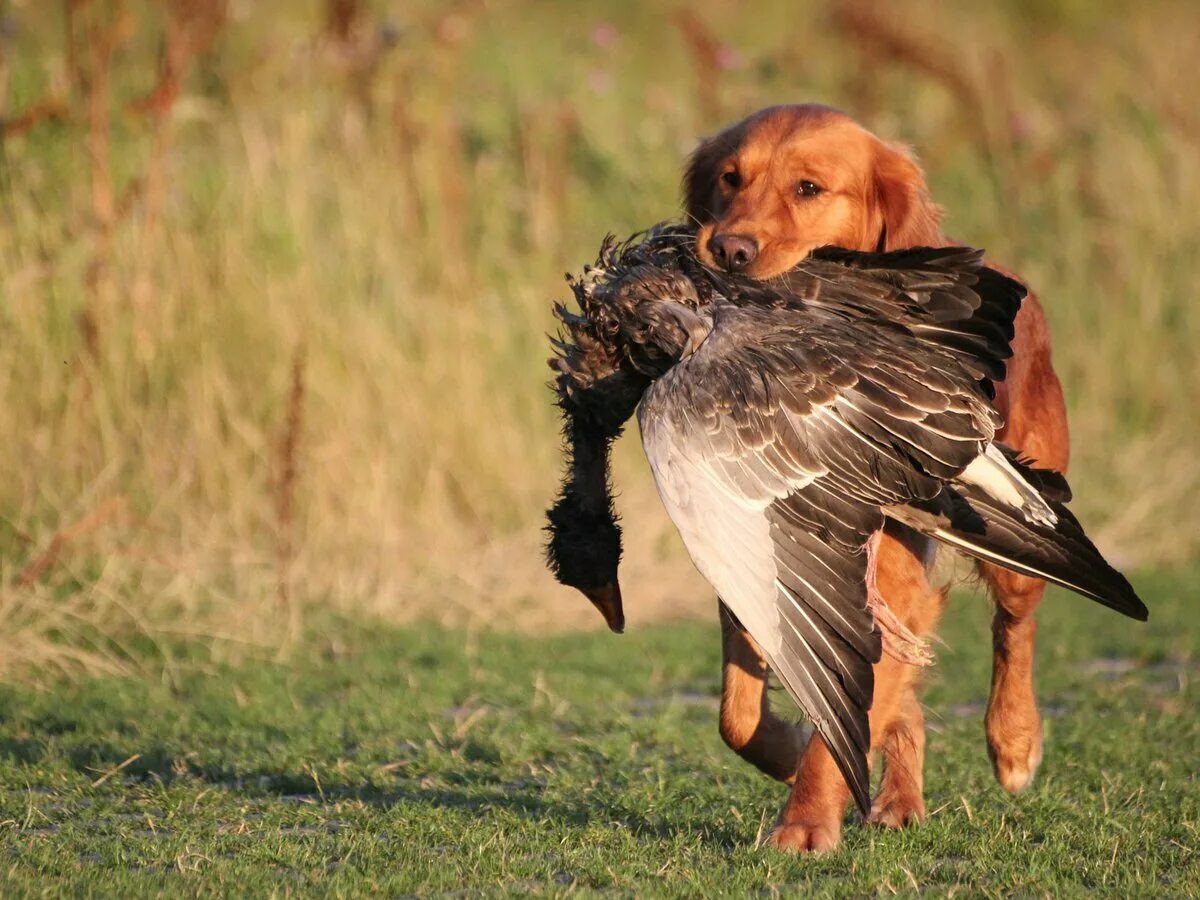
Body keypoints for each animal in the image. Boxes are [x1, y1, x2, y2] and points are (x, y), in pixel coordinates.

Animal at [686, 105, 1070, 854]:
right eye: (729, 179)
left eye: (809, 188)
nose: (728, 249)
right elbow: (738, 714)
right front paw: (785, 752)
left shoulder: (889, 575)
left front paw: (805, 821)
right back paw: (899, 799)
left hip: (1015, 540)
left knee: (1015, 627)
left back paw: (1013, 742)